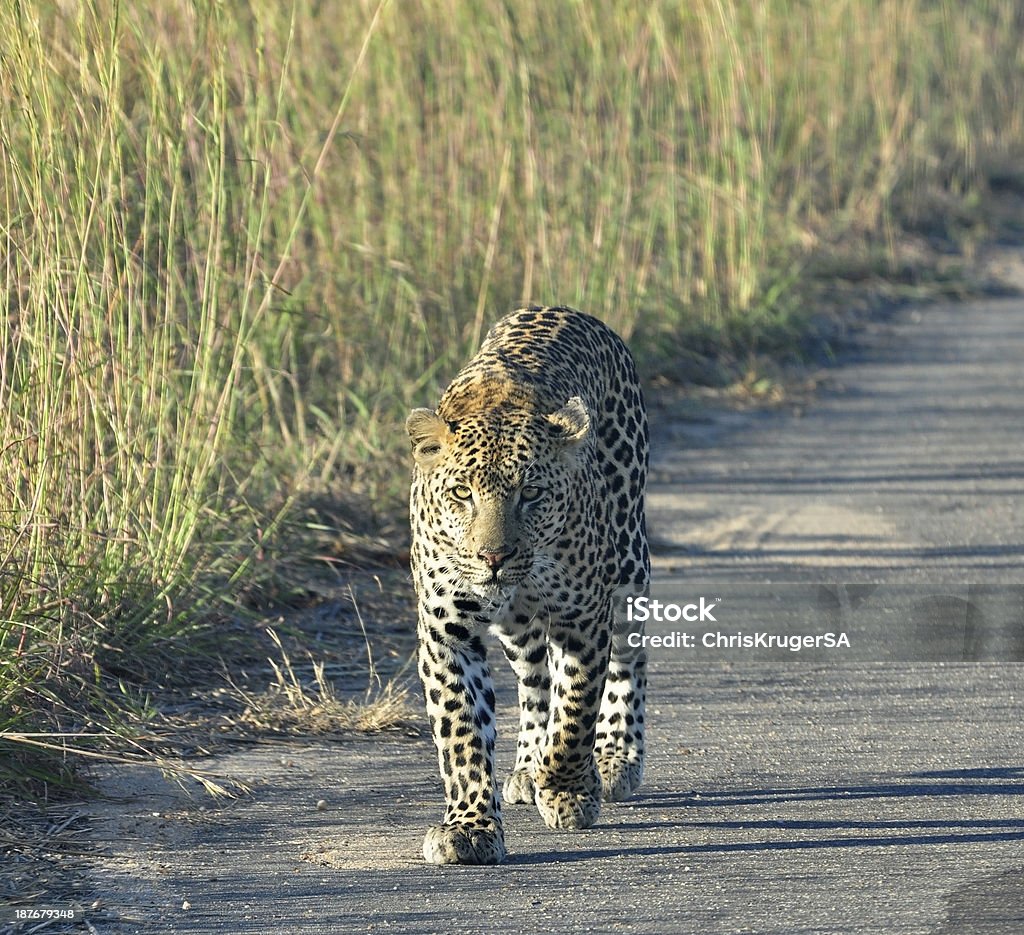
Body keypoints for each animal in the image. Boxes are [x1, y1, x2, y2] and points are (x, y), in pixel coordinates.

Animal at [405, 305, 647, 860]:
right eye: (462, 493)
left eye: (531, 493)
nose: (493, 557)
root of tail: (565, 308)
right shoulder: (447, 633)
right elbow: (463, 732)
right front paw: (469, 827)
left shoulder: (583, 619)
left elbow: (576, 711)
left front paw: (569, 791)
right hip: (517, 629)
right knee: (535, 679)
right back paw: (525, 766)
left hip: (627, 566)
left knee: (627, 659)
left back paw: (614, 757)